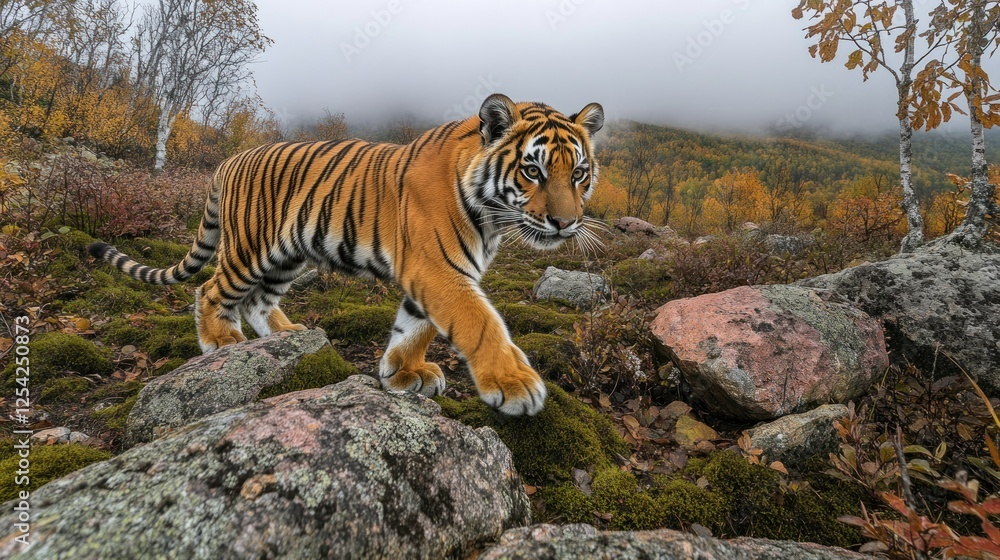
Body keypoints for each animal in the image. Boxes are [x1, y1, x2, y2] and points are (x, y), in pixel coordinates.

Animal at [88, 94, 605, 416]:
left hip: (286, 255)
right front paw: (515, 383)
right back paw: (221, 341)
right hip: (248, 250)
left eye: (578, 173)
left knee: (258, 301)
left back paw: (287, 334)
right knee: (211, 289)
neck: (491, 216)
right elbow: (479, 322)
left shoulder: (436, 274)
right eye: (533, 171)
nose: (565, 223)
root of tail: (227, 161)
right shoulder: (437, 270)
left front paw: (402, 373)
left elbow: (416, 327)